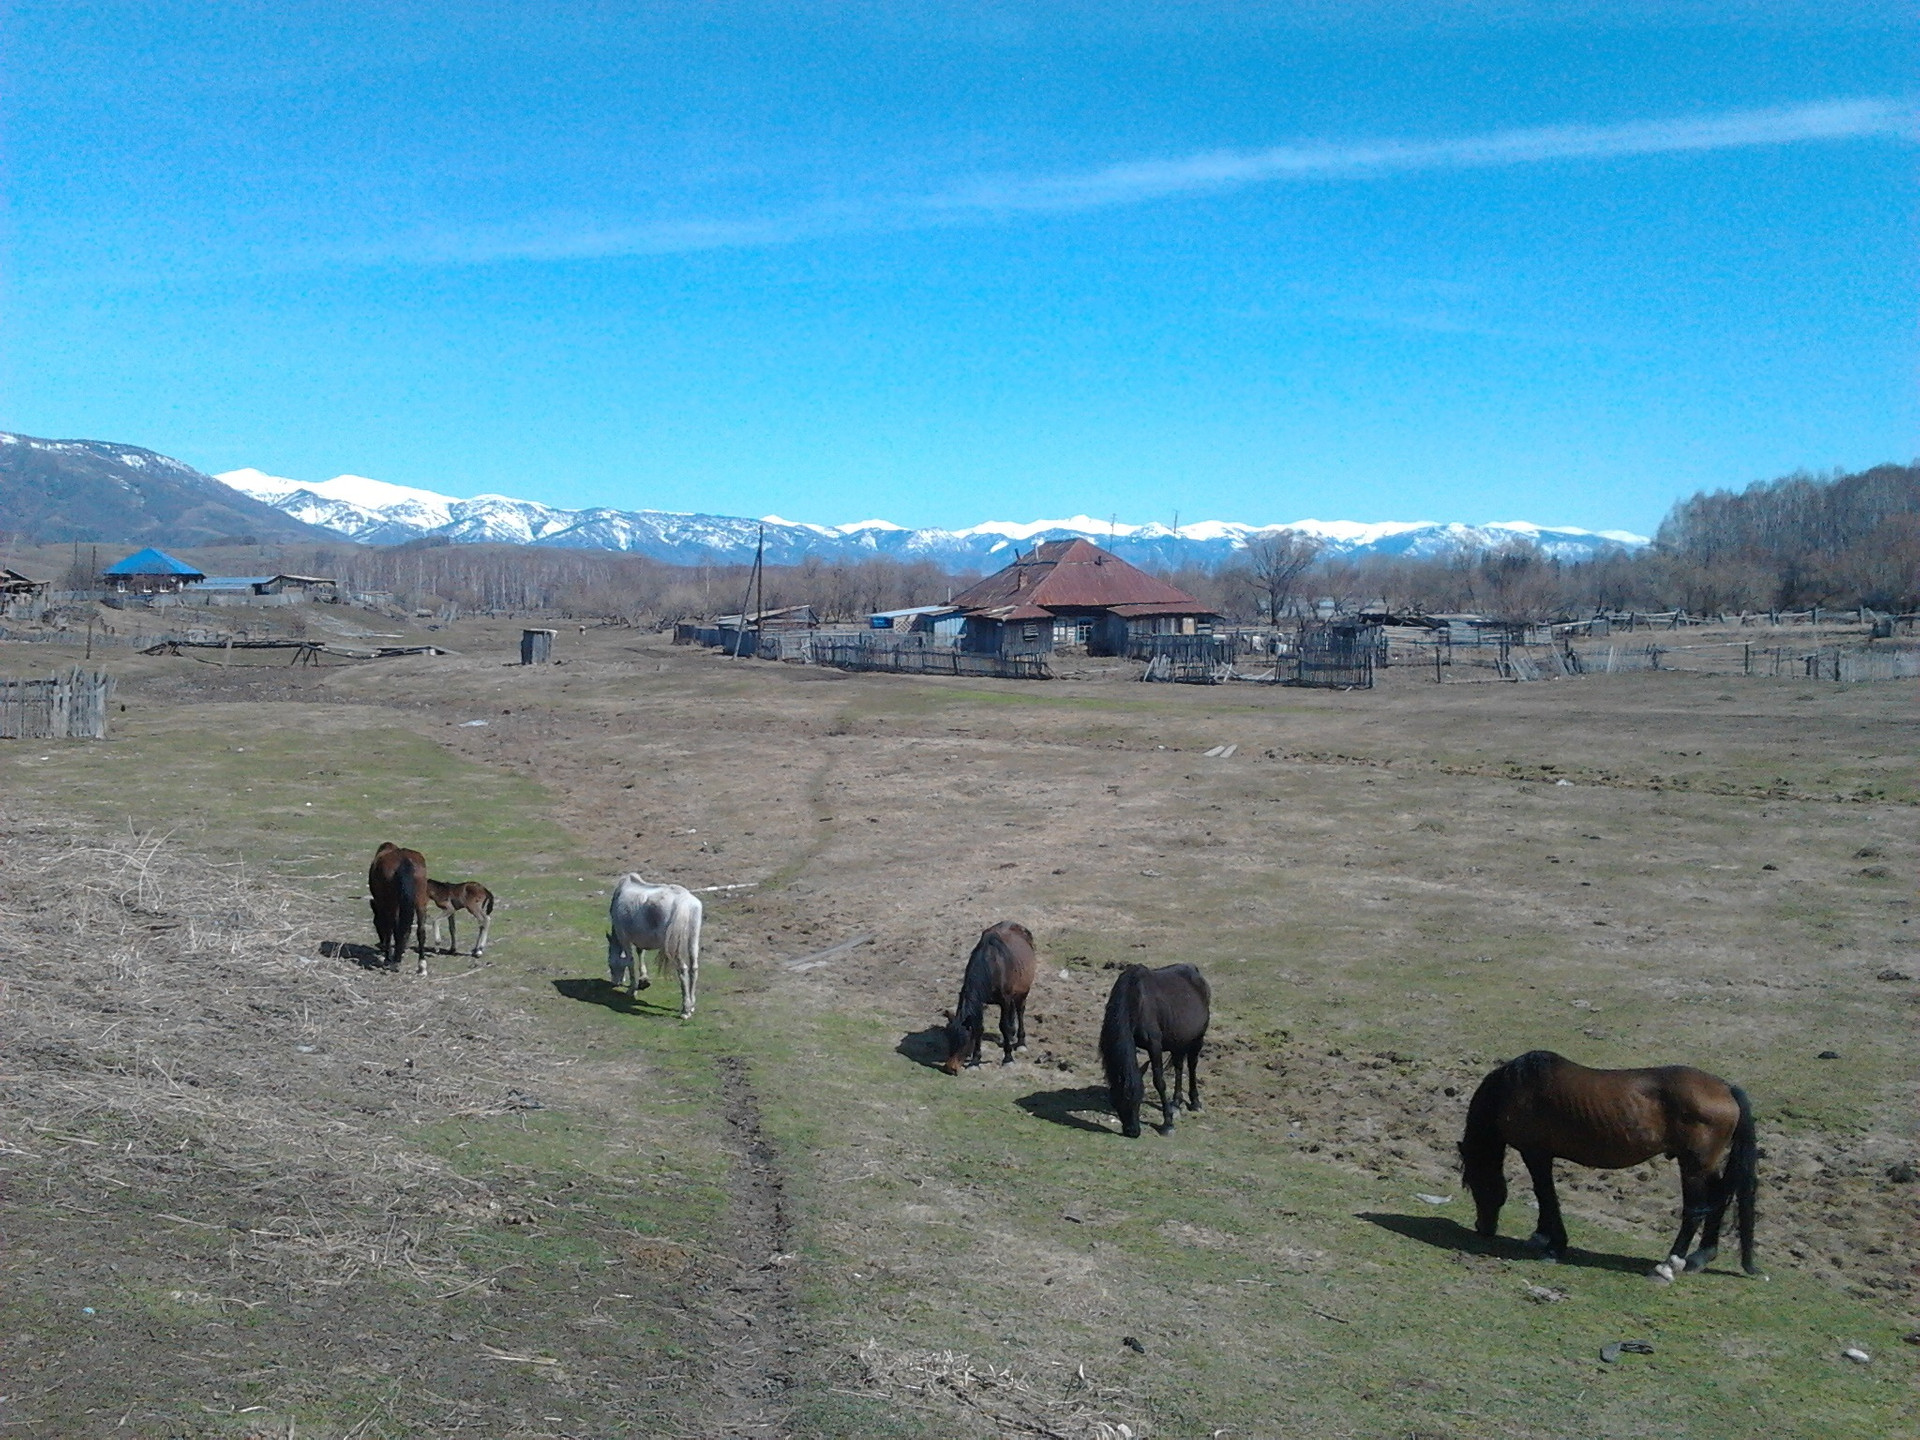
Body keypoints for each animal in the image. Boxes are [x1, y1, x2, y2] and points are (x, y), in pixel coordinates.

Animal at [368, 842, 429, 975]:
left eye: (375, 923)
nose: (381, 945)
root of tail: (404, 861)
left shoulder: (384, 905)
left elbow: (389, 929)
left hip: (393, 904)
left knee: (394, 929)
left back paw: (392, 961)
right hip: (421, 900)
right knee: (421, 930)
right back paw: (421, 965)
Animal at [607, 874, 703, 1019]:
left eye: (610, 964)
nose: (615, 982)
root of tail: (685, 902)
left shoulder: (624, 938)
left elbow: (630, 961)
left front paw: (632, 990)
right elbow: (640, 952)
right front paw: (643, 980)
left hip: (673, 947)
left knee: (683, 969)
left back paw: (685, 1010)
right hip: (693, 940)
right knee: (693, 968)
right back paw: (691, 1006)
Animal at [940, 921, 1037, 1074]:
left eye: (965, 1041)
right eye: (949, 1040)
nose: (950, 1068)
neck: (992, 967)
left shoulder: (1004, 1001)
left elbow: (1003, 1025)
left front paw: (1008, 1058)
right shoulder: (980, 1002)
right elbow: (979, 1027)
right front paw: (975, 1061)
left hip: (1023, 991)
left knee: (1020, 1011)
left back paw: (1021, 1042)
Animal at [1100, 963, 1210, 1138]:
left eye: (1139, 1098)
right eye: (1115, 1100)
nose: (1132, 1131)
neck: (1136, 1000)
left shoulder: (1154, 1046)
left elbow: (1159, 1081)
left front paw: (1167, 1124)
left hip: (1198, 1037)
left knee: (1192, 1065)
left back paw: (1195, 1103)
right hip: (1178, 1040)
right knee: (1179, 1066)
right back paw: (1176, 1103)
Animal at [1458, 1050, 1759, 1279]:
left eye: (1475, 1183)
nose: (1483, 1227)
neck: (1515, 1088)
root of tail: (1726, 1089)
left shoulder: (1536, 1154)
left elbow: (1546, 1195)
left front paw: (1555, 1246)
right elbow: (1543, 1195)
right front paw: (1542, 1236)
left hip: (1693, 1167)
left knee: (1695, 1211)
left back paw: (1668, 1265)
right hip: (1706, 1166)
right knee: (1719, 1197)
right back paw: (1700, 1257)